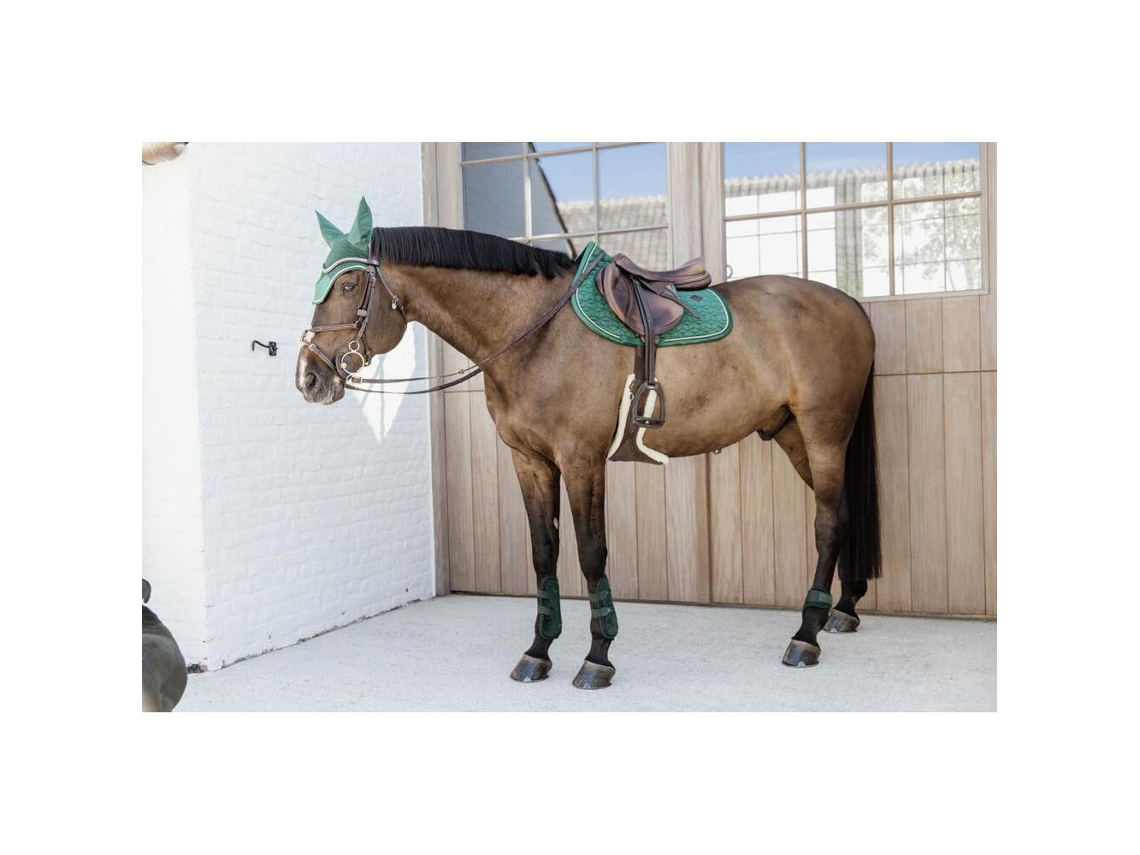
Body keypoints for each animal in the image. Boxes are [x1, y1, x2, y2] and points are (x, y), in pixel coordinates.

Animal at [297, 198, 880, 690]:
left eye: (348, 286)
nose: (309, 377)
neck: (536, 336)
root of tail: (851, 305)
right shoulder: (530, 461)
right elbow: (544, 552)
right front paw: (538, 650)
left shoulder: (581, 460)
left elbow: (591, 552)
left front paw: (597, 656)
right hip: (793, 435)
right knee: (844, 512)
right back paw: (841, 610)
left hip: (824, 433)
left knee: (828, 522)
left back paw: (804, 636)